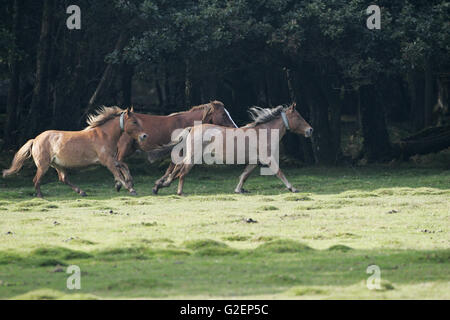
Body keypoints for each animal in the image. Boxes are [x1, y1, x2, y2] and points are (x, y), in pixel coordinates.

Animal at [2, 107, 149, 198]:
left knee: (63, 179)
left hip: (57, 165)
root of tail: (35, 139)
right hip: (43, 165)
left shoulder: (112, 159)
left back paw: (82, 192)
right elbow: (118, 174)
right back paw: (40, 196)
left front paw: (126, 183)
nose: (144, 136)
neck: (104, 135)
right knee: (36, 180)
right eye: (134, 122)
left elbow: (124, 167)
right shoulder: (107, 161)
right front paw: (130, 188)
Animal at [151, 104, 312, 196]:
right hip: (193, 157)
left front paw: (238, 190)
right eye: (298, 116)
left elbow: (244, 175)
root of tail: (192, 128)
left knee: (177, 168)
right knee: (182, 171)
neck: (263, 132)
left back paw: (161, 185)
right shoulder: (267, 158)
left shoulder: (254, 161)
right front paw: (292, 188)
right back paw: (178, 191)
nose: (310, 130)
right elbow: (279, 172)